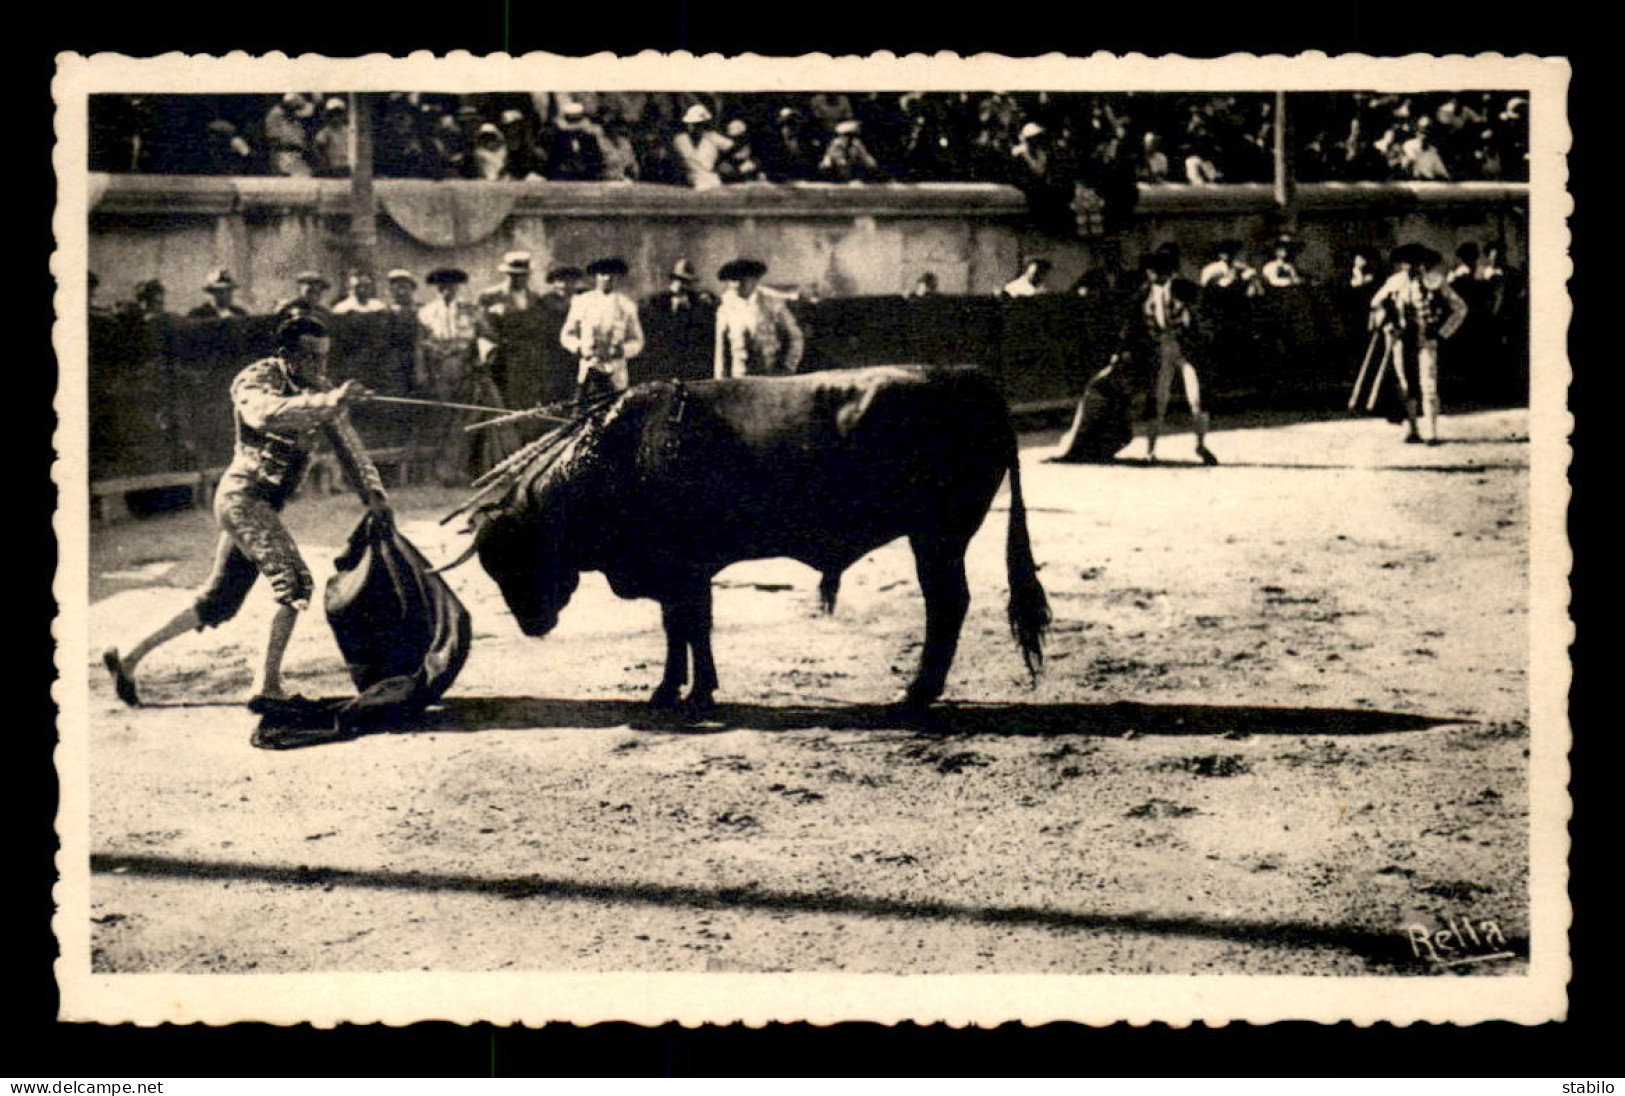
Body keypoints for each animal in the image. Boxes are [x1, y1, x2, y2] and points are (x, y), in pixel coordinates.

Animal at [471, 362, 1053, 712]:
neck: (622, 452)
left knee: (946, 603)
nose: (532, 624)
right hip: (936, 537)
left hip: (938, 536)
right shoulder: (682, 575)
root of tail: (965, 377)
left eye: (519, 556)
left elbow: (689, 626)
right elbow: (681, 628)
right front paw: (677, 690)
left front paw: (689, 693)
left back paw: (915, 693)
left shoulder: (683, 570)